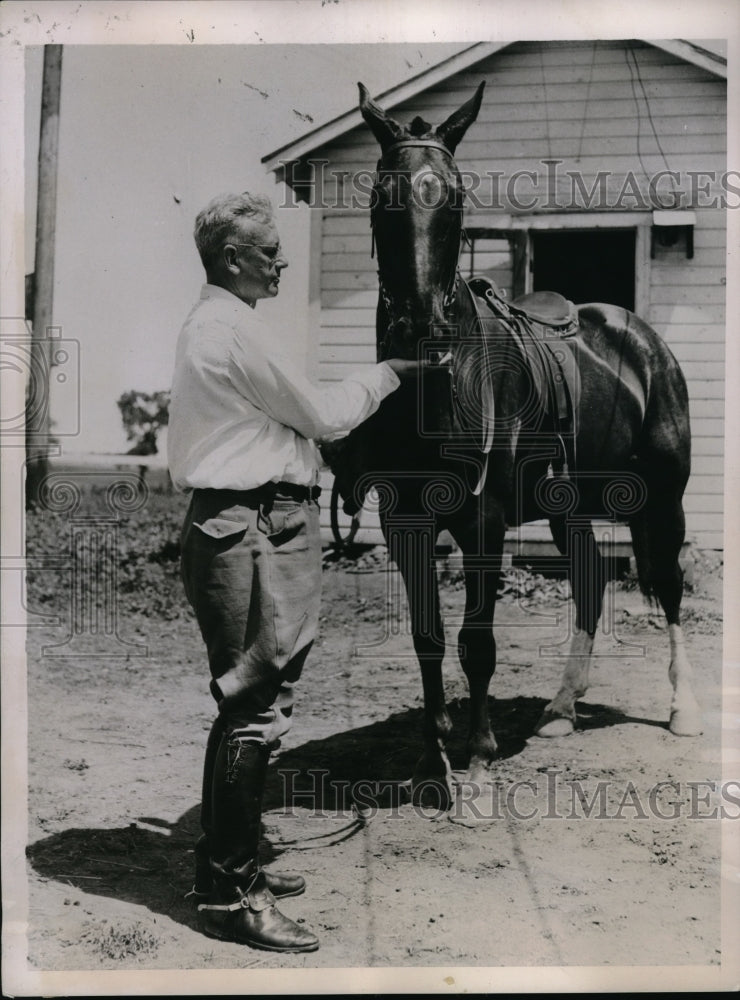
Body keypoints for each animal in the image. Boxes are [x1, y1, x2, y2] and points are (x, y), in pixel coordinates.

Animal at [326, 80, 704, 812]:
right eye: (381, 197)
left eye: (455, 198)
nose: (419, 329)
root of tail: (644, 340)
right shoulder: (403, 523)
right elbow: (427, 638)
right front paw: (433, 761)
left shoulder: (484, 521)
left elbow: (476, 643)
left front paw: (476, 764)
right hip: (569, 509)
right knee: (590, 583)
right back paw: (560, 710)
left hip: (664, 500)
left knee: (670, 588)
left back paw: (683, 711)